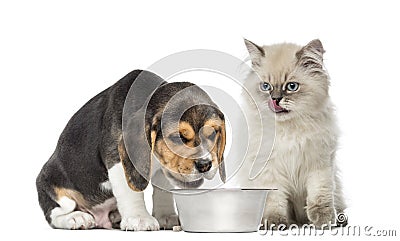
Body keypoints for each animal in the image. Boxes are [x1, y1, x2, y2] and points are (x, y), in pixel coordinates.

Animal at [36, 69, 227, 230]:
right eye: (177, 137)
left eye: (212, 134)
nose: (205, 165)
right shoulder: (118, 159)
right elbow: (131, 192)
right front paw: (139, 218)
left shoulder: (163, 164)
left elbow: (163, 191)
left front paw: (166, 216)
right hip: (52, 184)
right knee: (55, 214)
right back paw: (76, 218)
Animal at [236, 39, 346, 228]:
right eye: (266, 87)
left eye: (291, 87)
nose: (275, 99)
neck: (289, 130)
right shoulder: (269, 170)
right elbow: (274, 200)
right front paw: (275, 223)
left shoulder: (319, 164)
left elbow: (319, 197)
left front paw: (323, 221)